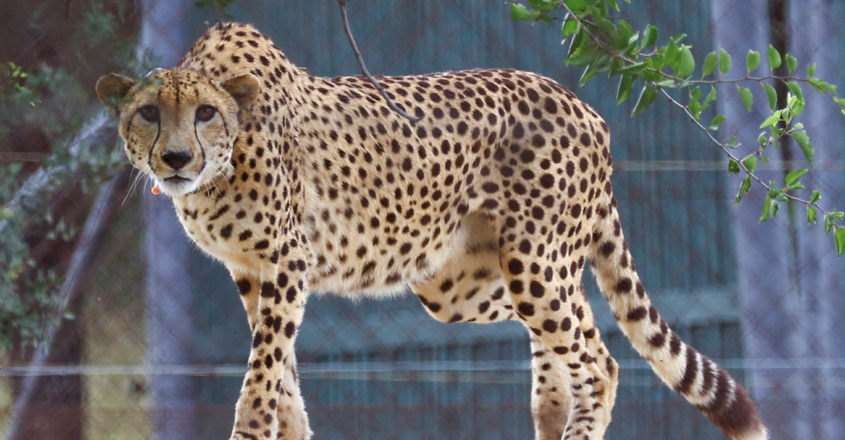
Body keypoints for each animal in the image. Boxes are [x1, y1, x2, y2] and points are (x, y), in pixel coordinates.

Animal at [96, 22, 768, 440]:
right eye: (148, 113)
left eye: (206, 113)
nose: (175, 158)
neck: (221, 167)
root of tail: (582, 104)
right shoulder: (251, 272)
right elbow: (280, 370)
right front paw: (296, 430)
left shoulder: (288, 261)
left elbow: (263, 370)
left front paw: (253, 428)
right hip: (470, 283)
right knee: (574, 324)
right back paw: (550, 414)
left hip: (531, 262)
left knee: (599, 360)